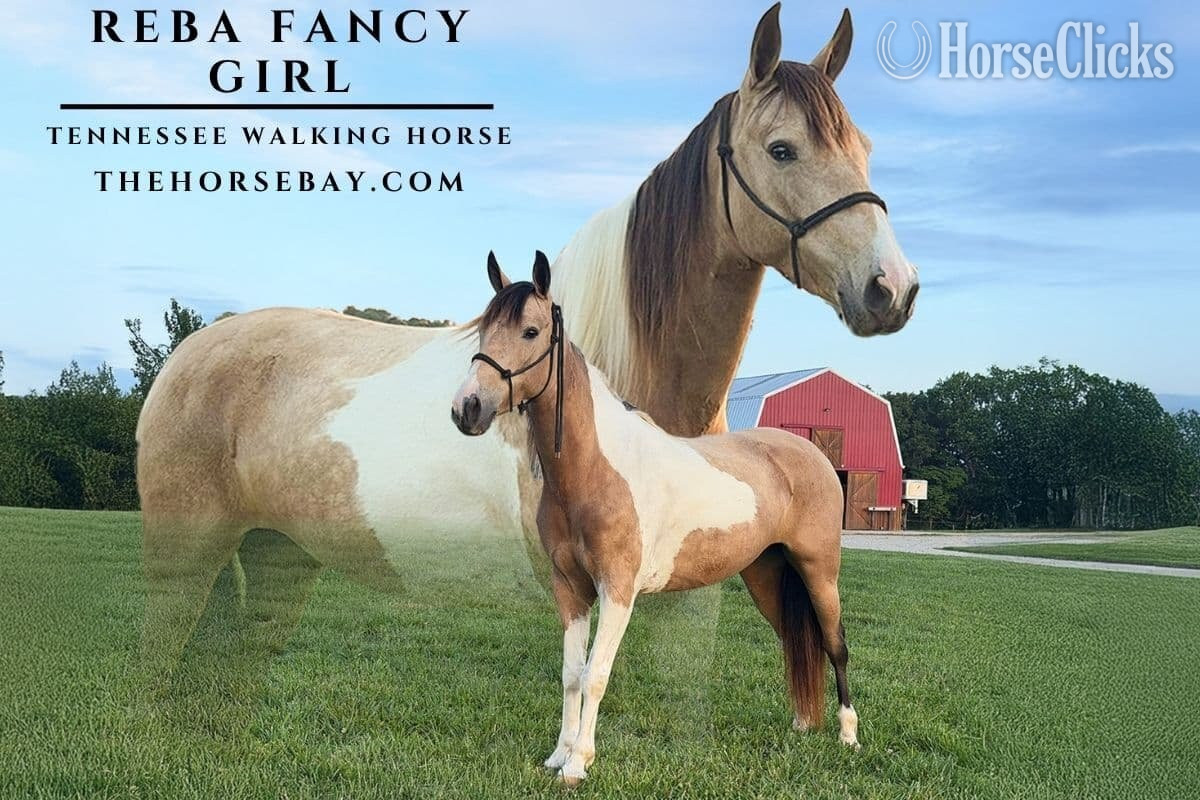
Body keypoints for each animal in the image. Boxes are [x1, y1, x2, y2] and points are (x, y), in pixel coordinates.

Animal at [136, 3, 916, 685]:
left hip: (277, 550)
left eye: (866, 148)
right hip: (185, 553)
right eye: (783, 150)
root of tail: (185, 356)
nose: (892, 289)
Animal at [453, 252, 856, 786]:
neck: (595, 471)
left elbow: (596, 675)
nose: (467, 408)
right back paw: (802, 724)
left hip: (819, 572)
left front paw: (578, 764)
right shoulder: (570, 588)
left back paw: (848, 735)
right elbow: (571, 674)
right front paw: (559, 755)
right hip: (766, 575)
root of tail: (811, 453)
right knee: (794, 639)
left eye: (531, 332)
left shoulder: (617, 590)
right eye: (484, 329)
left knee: (834, 643)